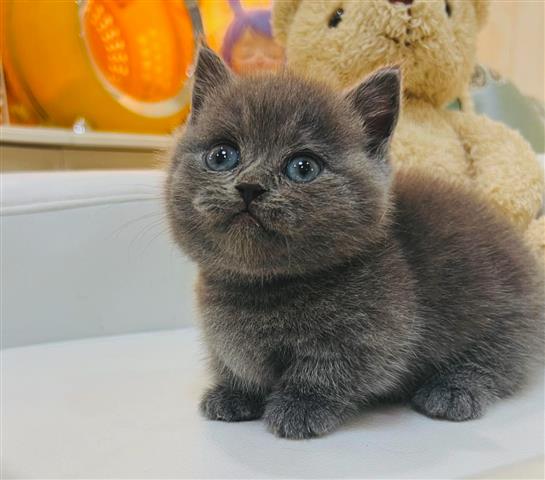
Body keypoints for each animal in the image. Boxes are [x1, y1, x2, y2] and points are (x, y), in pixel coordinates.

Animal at [165, 47, 540, 440]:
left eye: (303, 167)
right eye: (222, 156)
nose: (250, 186)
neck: (262, 286)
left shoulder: (373, 333)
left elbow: (331, 369)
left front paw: (301, 405)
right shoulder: (223, 334)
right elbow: (235, 361)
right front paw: (234, 393)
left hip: (503, 316)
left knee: (500, 362)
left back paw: (452, 389)